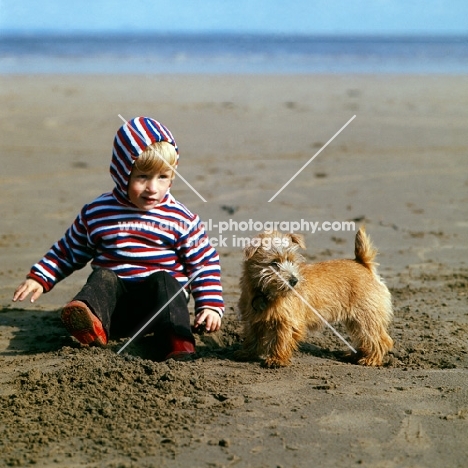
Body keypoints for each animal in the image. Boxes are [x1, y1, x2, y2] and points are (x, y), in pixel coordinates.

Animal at [236, 228, 394, 370]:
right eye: (274, 263)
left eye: (292, 261)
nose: (294, 280)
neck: (264, 293)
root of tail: (363, 264)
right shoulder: (252, 319)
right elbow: (252, 336)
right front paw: (247, 353)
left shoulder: (288, 321)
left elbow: (281, 340)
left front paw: (276, 360)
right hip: (355, 320)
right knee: (364, 338)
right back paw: (357, 355)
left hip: (366, 316)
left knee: (380, 339)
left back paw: (371, 359)